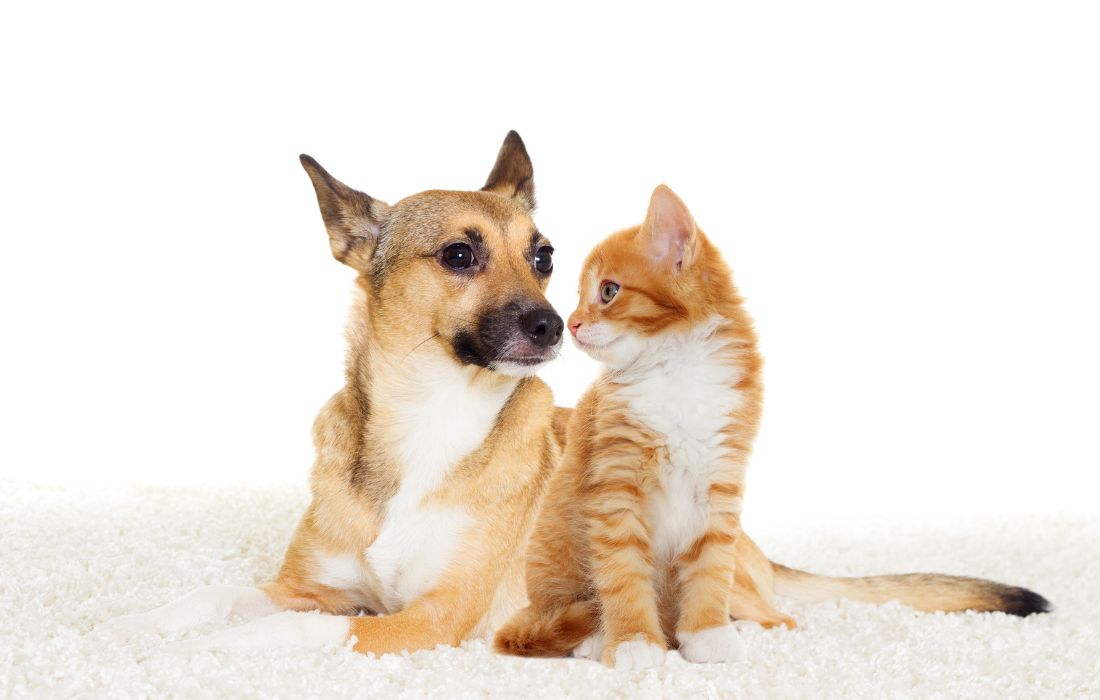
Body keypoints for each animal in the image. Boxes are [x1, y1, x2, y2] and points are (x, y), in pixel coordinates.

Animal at [100, 130, 572, 655]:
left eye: (544, 258)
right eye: (459, 255)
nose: (552, 326)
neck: (430, 413)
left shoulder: (431, 620)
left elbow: (290, 627)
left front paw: (197, 648)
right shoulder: (305, 589)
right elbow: (212, 594)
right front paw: (138, 626)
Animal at [497, 182, 1047, 669]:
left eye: (608, 292)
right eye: (579, 297)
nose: (572, 324)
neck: (675, 368)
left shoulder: (721, 483)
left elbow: (709, 570)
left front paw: (706, 636)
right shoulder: (614, 487)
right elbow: (623, 574)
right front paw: (634, 642)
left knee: (780, 616)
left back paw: (735, 627)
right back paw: (597, 638)